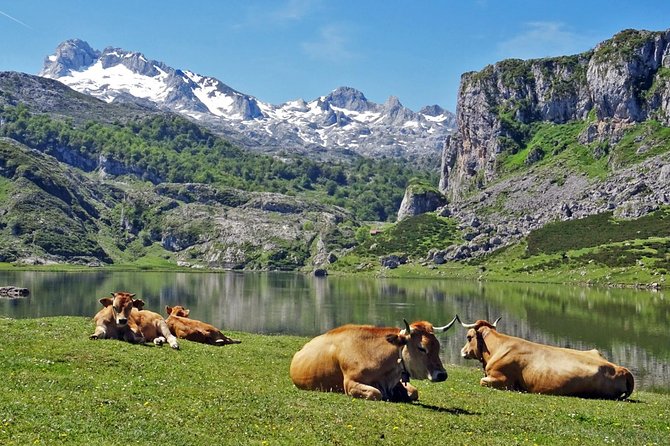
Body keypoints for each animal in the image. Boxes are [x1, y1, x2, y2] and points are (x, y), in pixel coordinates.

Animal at [456, 316, 636, 398]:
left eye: (468, 337)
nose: (462, 351)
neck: (497, 347)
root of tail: (621, 369)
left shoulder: (502, 380)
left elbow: (482, 381)